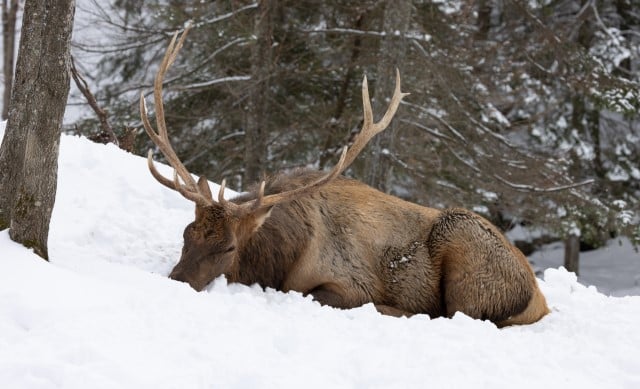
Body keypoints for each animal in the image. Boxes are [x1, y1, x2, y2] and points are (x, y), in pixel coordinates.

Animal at [141, 25, 552, 326]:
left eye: (228, 247)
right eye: (186, 233)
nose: (177, 280)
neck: (284, 255)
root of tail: (540, 298)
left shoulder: (352, 283)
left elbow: (317, 295)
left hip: (466, 249)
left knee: (457, 315)